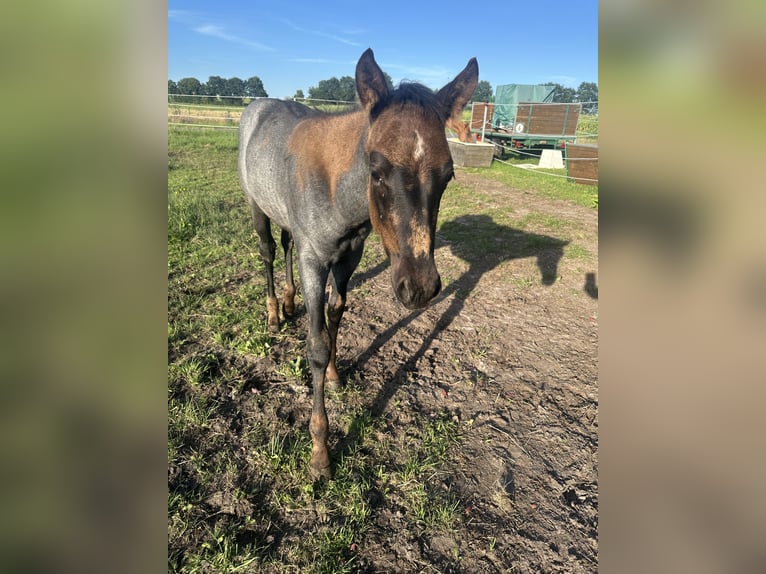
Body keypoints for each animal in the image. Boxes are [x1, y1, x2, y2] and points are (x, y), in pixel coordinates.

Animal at [238, 48, 478, 479]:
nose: (419, 288)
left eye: (449, 175)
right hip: (256, 207)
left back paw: (288, 302)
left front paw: (335, 375)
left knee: (285, 244)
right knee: (267, 251)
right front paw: (320, 452)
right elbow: (316, 345)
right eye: (377, 172)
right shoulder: (314, 260)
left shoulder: (351, 255)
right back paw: (274, 315)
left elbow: (337, 312)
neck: (338, 191)